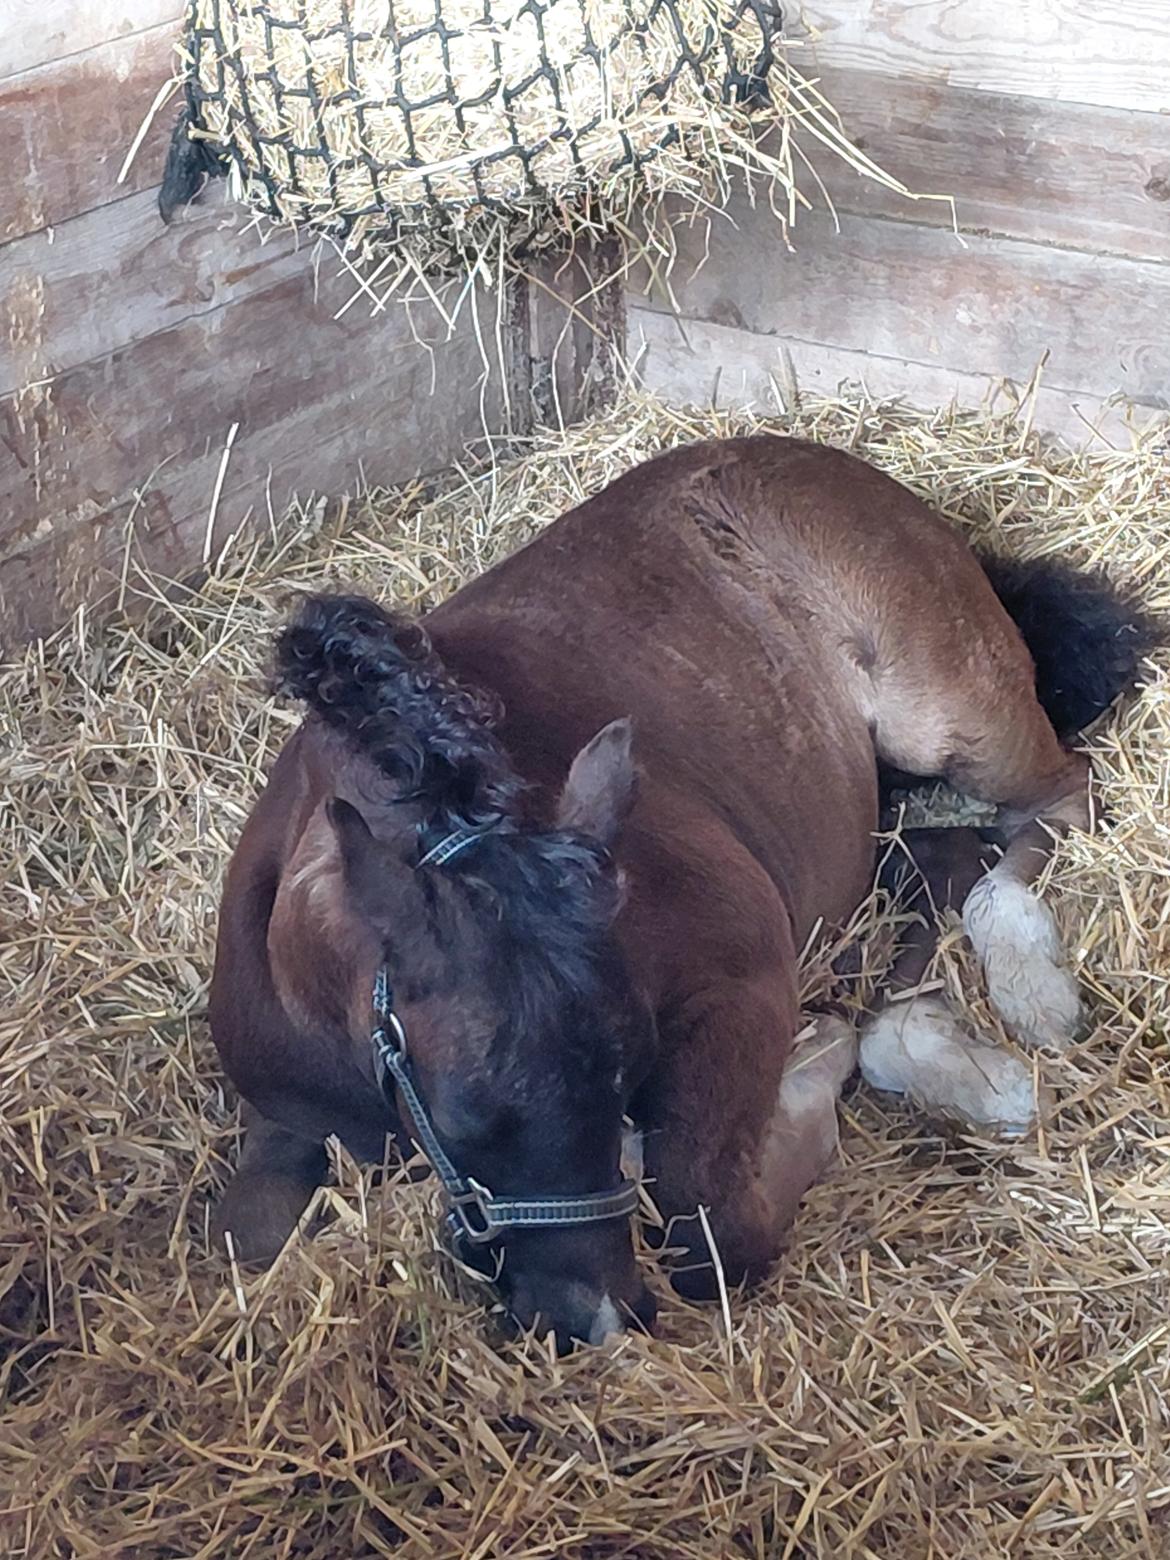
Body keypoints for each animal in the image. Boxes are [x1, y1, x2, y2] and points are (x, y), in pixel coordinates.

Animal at [207, 435, 1154, 1350]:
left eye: (631, 1067)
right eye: (463, 1113)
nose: (593, 1318)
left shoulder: (739, 978)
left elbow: (710, 1229)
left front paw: (816, 1065)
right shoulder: (282, 1121)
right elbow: (245, 1243)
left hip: (942, 712)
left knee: (1059, 801)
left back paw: (1028, 993)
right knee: (940, 858)